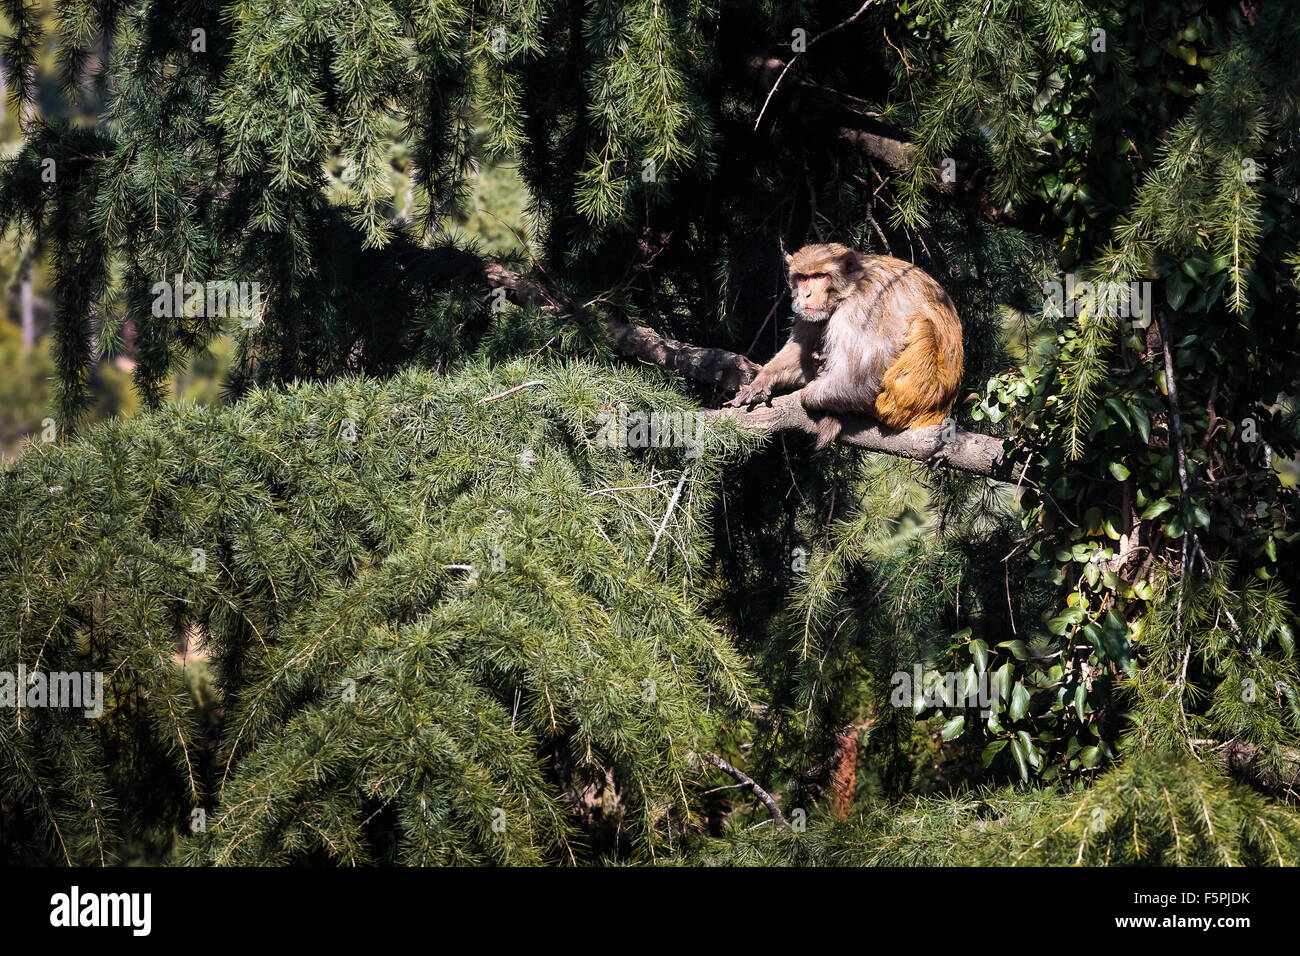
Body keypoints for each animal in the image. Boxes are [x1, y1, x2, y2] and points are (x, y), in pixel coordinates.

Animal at [733, 239, 967, 447]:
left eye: (819, 276)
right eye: (803, 277)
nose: (806, 294)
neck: (852, 287)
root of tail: (939, 411)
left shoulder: (862, 307)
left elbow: (858, 376)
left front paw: (805, 395)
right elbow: (802, 350)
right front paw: (762, 380)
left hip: (912, 396)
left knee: (922, 327)